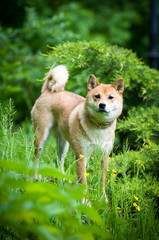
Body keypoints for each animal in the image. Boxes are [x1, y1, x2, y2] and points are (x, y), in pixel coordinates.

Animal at [31, 64, 124, 202]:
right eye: (97, 96)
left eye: (110, 97)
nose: (102, 105)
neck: (99, 127)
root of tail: (48, 91)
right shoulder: (82, 157)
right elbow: (83, 182)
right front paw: (85, 202)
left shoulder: (104, 157)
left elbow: (102, 181)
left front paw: (103, 199)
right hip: (40, 139)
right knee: (35, 159)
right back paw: (35, 177)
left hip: (63, 145)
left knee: (59, 161)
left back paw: (63, 180)